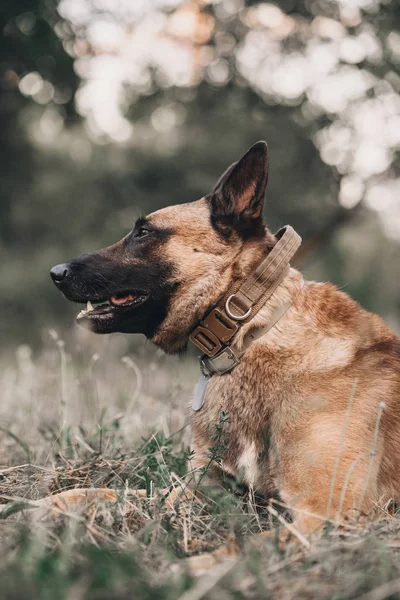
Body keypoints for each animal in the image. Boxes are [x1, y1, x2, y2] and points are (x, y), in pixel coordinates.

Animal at [48, 143, 400, 564]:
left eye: (144, 232)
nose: (56, 272)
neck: (250, 334)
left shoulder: (329, 514)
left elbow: (243, 548)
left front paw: (186, 568)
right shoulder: (200, 487)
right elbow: (109, 494)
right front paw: (38, 507)